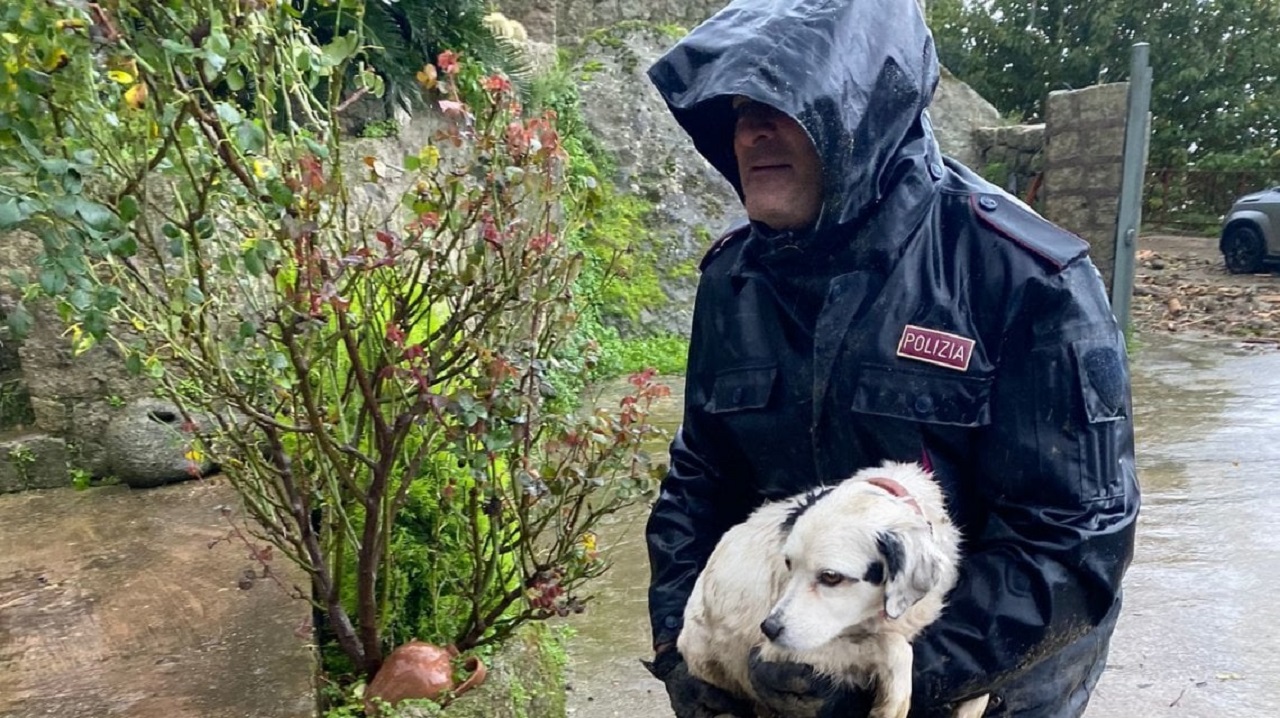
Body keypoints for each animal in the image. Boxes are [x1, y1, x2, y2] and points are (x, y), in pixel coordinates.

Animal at [680, 458, 988, 716]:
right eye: (788, 563)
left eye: (830, 577)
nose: (769, 628)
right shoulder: (780, 652)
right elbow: (896, 647)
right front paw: (890, 706)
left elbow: (979, 689)